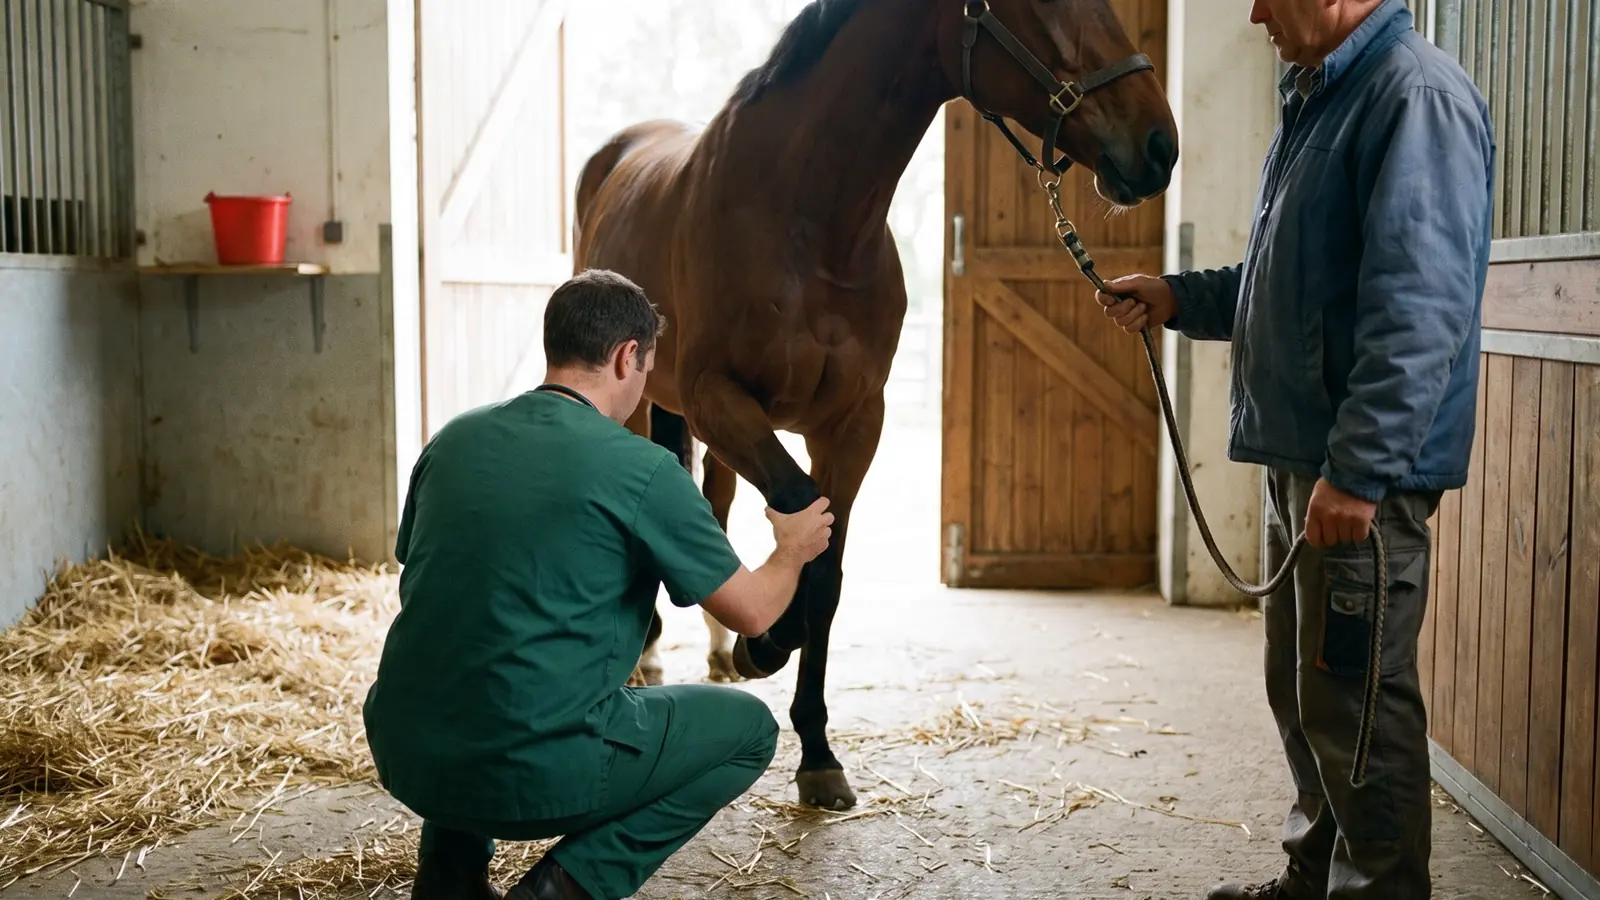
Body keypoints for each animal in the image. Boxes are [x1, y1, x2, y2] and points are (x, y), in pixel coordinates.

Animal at [574, 0, 1178, 812]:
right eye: (1043, 3)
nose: (1158, 145)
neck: (804, 222)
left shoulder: (855, 422)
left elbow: (827, 572)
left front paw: (814, 745)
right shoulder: (721, 400)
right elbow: (803, 515)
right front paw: (766, 641)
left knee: (716, 506)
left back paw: (717, 651)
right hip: (642, 407)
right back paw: (649, 659)